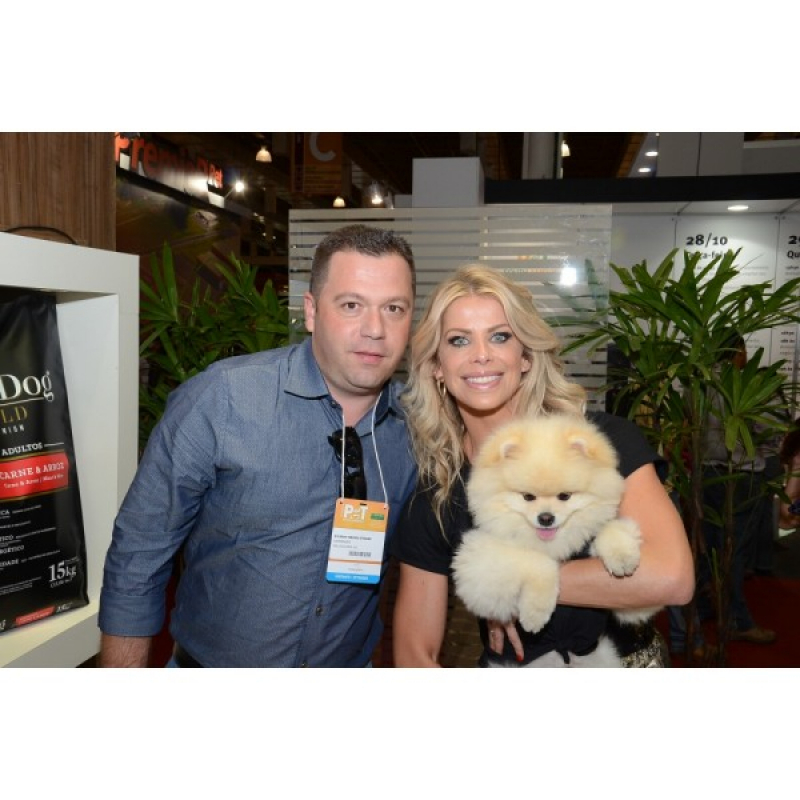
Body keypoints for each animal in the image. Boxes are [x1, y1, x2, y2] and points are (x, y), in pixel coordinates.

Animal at [454, 412, 660, 668]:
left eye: (565, 496)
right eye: (527, 497)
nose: (545, 518)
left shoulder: (634, 606)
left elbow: (606, 528)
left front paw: (621, 556)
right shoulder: (481, 565)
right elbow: (537, 560)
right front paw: (535, 613)